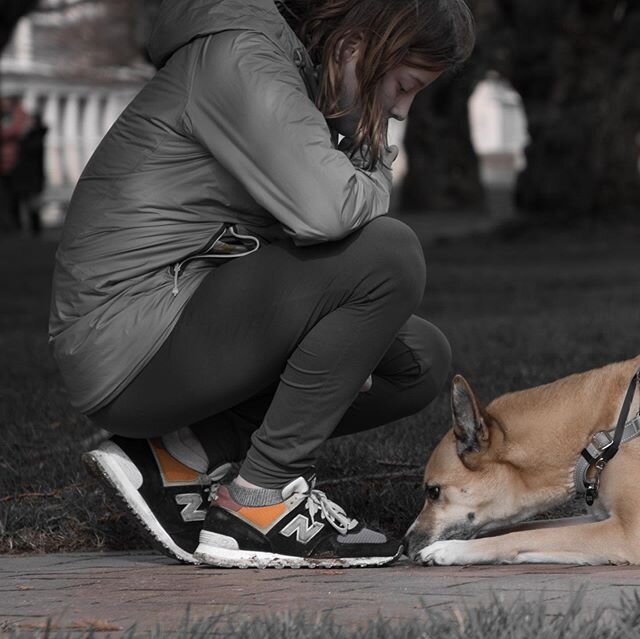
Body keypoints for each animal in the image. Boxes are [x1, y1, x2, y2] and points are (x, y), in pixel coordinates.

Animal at [404, 356, 640, 564]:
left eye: (433, 492)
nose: (403, 546)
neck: (598, 434)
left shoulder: (626, 533)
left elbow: (527, 535)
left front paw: (450, 549)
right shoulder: (600, 519)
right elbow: (524, 528)